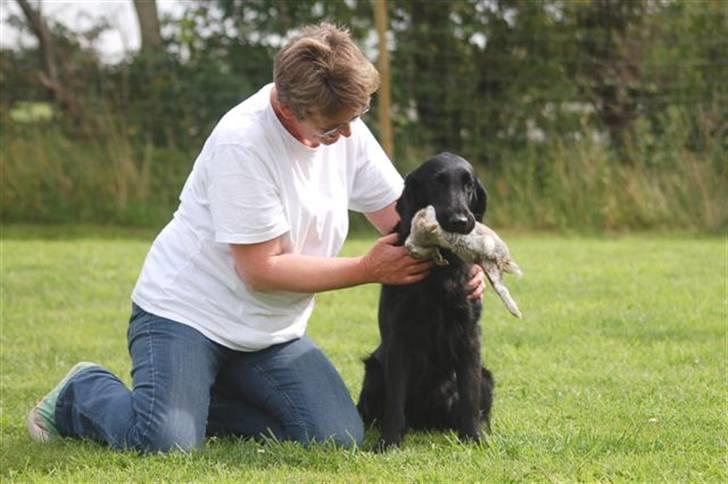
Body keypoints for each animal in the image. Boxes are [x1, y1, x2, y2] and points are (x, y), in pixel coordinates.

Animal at [356, 152, 494, 450]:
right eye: (437, 182)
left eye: (468, 185)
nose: (460, 221)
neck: (439, 269)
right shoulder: (398, 335)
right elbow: (396, 399)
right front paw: (389, 441)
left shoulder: (469, 334)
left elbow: (469, 393)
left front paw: (472, 437)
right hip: (373, 372)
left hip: (487, 378)